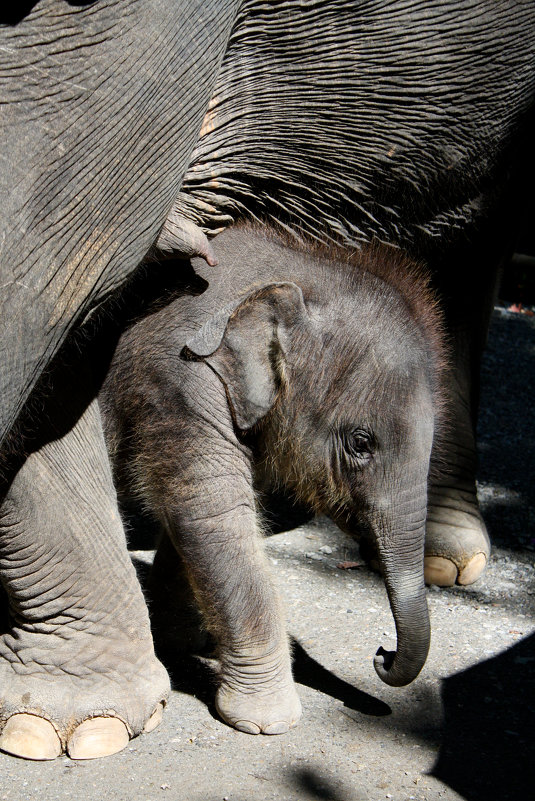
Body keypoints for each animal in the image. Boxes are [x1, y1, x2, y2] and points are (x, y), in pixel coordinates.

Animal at [99, 222, 444, 736]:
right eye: (361, 443)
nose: (382, 654)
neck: (296, 274)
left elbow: (193, 526)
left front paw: (186, 644)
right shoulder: (180, 386)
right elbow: (213, 518)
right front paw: (267, 722)